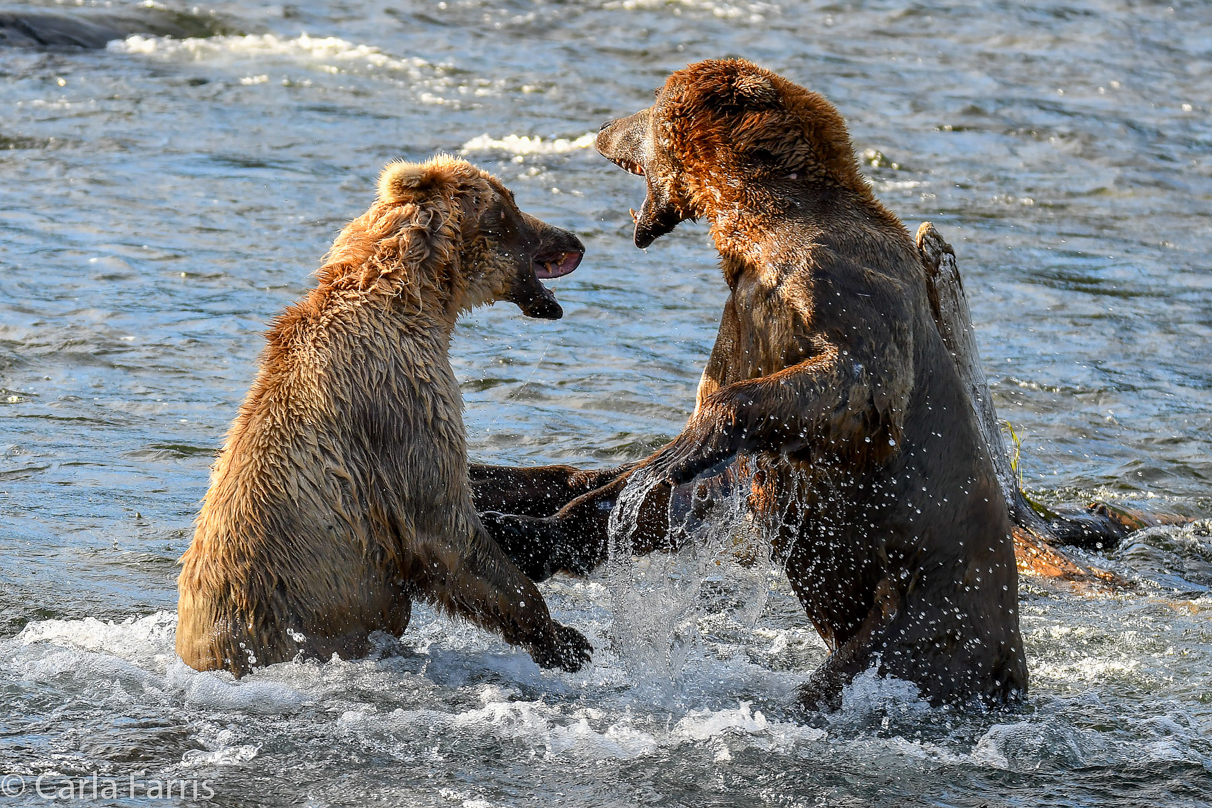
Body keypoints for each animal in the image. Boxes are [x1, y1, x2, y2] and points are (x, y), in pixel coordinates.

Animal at [176, 156, 591, 678]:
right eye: (511, 203)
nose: (573, 239)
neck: (421, 298)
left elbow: (471, 484)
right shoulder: (399, 400)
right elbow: (442, 527)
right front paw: (564, 638)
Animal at [467, 61, 1027, 707]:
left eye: (651, 103)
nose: (603, 126)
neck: (754, 224)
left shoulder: (835, 285)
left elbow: (859, 381)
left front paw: (686, 446)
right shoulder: (743, 322)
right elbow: (675, 495)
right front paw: (520, 530)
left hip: (926, 612)